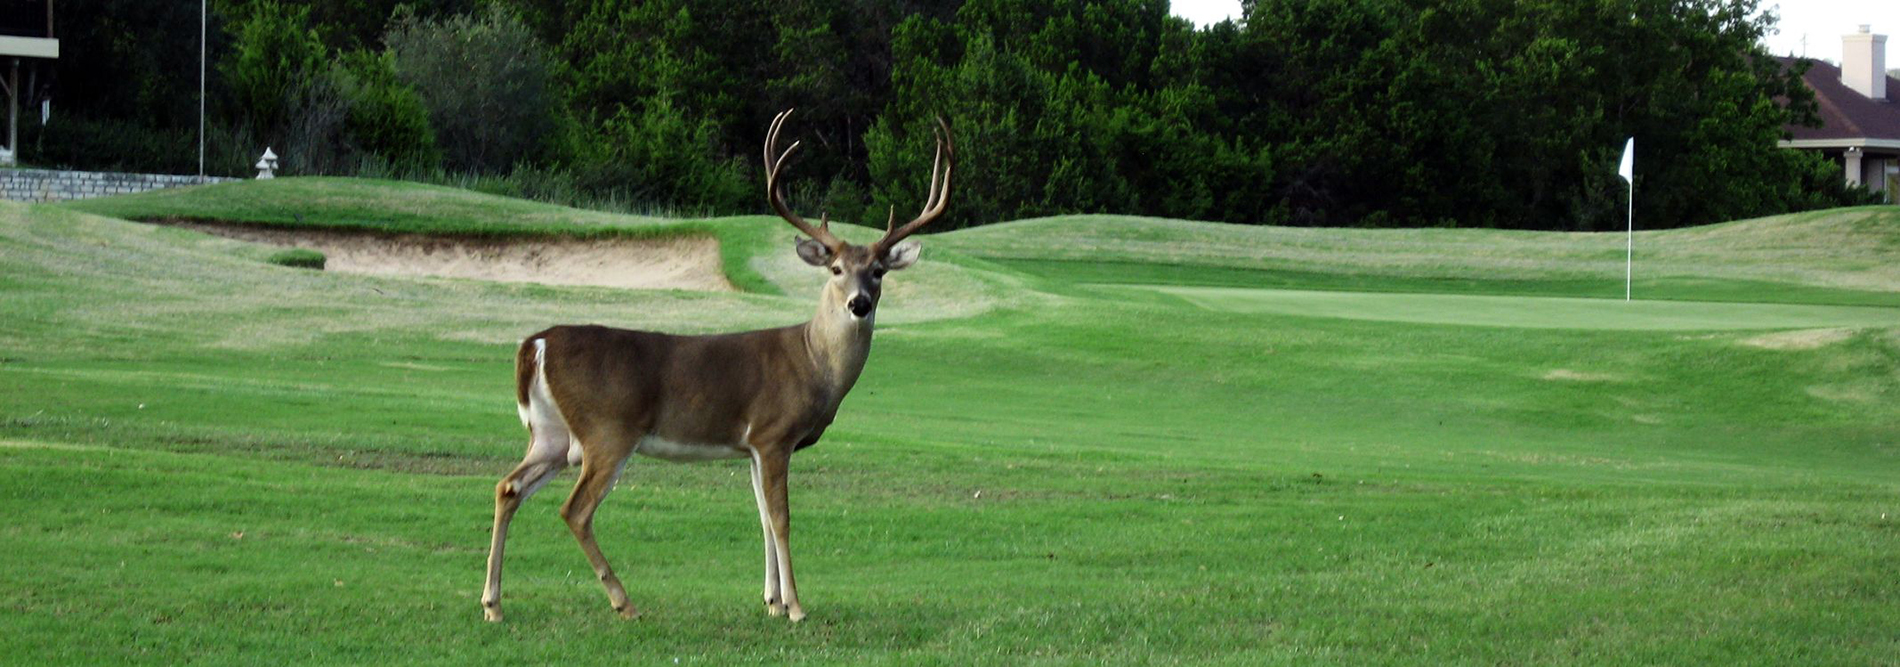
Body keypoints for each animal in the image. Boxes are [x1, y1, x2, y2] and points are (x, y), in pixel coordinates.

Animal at [478, 107, 946, 623]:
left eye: (878, 271)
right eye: (836, 268)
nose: (859, 303)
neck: (813, 362)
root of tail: (536, 344)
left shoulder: (752, 447)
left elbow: (762, 518)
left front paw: (771, 601)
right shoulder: (774, 433)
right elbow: (781, 519)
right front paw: (796, 607)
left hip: (551, 434)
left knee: (507, 487)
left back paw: (493, 603)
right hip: (607, 430)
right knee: (574, 510)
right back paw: (624, 602)